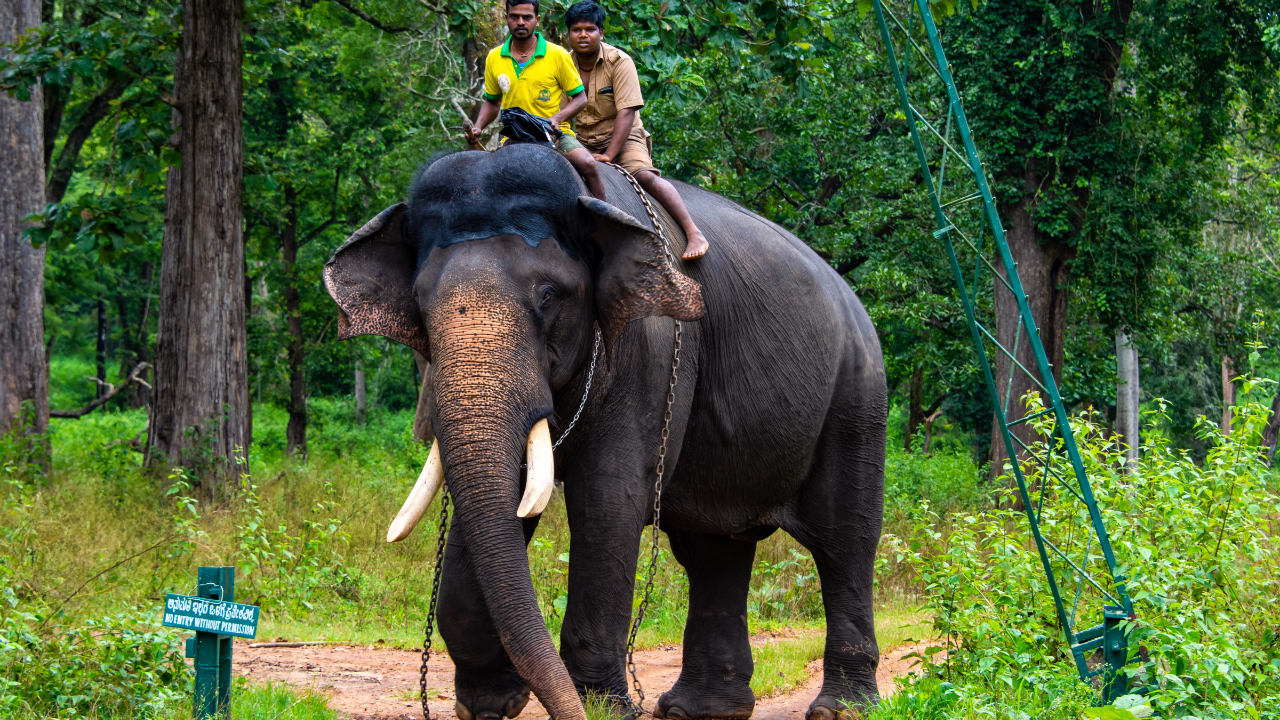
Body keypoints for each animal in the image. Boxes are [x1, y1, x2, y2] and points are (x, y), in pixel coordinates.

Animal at [325, 142, 885, 717]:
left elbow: (607, 499)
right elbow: (504, 503)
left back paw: (841, 707)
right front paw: (488, 705)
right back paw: (697, 709)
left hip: (856, 397)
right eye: (419, 305)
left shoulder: (651, 348)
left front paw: (600, 707)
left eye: (548, 296)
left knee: (843, 539)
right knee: (713, 548)